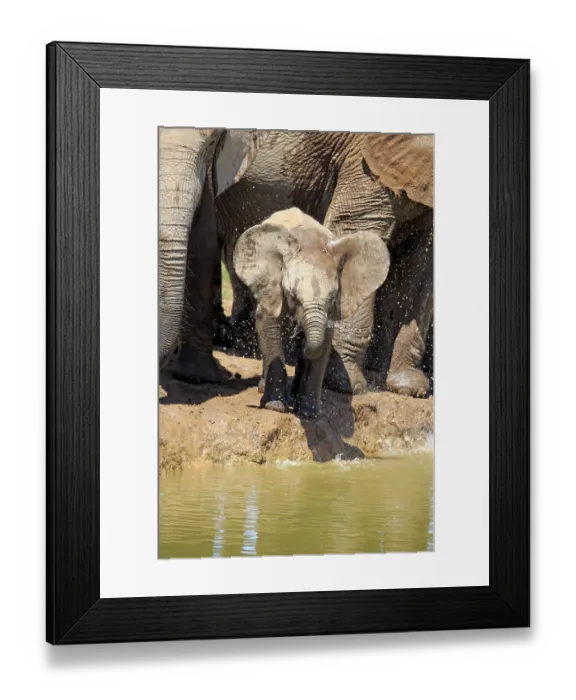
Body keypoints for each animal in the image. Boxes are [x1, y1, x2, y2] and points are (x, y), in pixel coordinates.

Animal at [234, 208, 390, 419]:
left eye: (332, 297)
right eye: (292, 295)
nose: (298, 331)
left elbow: (325, 340)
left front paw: (309, 414)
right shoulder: (272, 285)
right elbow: (268, 324)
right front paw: (275, 406)